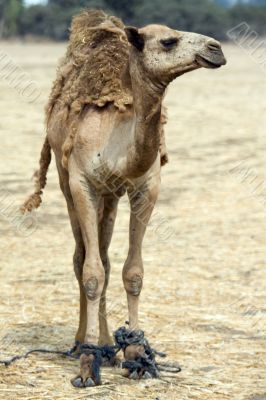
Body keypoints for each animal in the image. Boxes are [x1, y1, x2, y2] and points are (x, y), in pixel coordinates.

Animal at [22, 9, 227, 388]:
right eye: (168, 40)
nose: (216, 48)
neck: (114, 139)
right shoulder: (82, 184)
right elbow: (91, 273)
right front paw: (87, 365)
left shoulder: (146, 186)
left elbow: (132, 272)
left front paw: (135, 355)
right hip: (65, 180)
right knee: (83, 257)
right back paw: (82, 343)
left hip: (111, 197)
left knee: (103, 255)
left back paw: (107, 345)